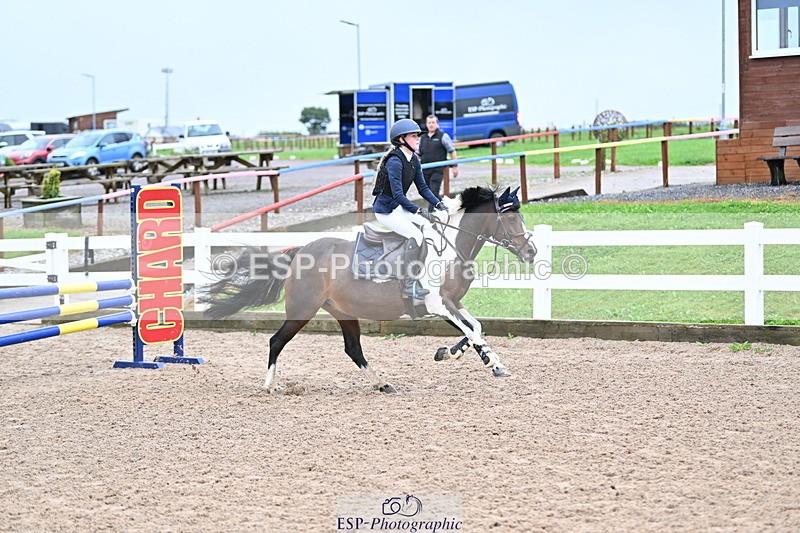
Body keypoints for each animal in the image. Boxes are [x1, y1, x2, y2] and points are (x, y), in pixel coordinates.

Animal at [203, 185, 537, 393]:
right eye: (510, 217)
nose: (531, 252)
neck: (450, 246)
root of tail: (299, 252)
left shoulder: (451, 302)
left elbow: (475, 328)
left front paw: (456, 354)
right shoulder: (437, 303)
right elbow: (472, 330)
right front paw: (488, 362)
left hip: (342, 311)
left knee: (353, 348)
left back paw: (381, 383)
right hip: (303, 310)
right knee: (276, 341)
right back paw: (270, 385)